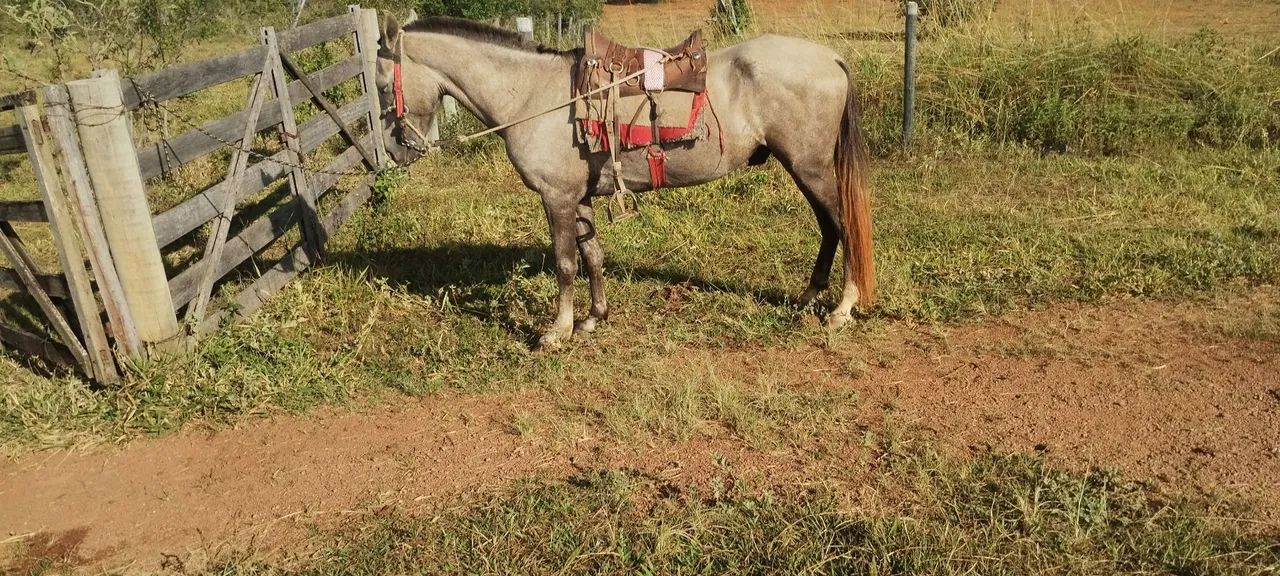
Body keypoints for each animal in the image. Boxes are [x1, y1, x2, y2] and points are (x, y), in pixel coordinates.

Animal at [374, 15, 875, 350]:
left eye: (380, 85)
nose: (398, 150)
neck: (531, 95)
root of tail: (829, 57)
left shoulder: (556, 198)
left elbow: (564, 264)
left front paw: (557, 331)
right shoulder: (578, 198)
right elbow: (592, 256)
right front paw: (593, 318)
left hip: (810, 167)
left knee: (844, 227)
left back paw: (841, 310)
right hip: (804, 169)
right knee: (829, 229)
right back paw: (810, 296)